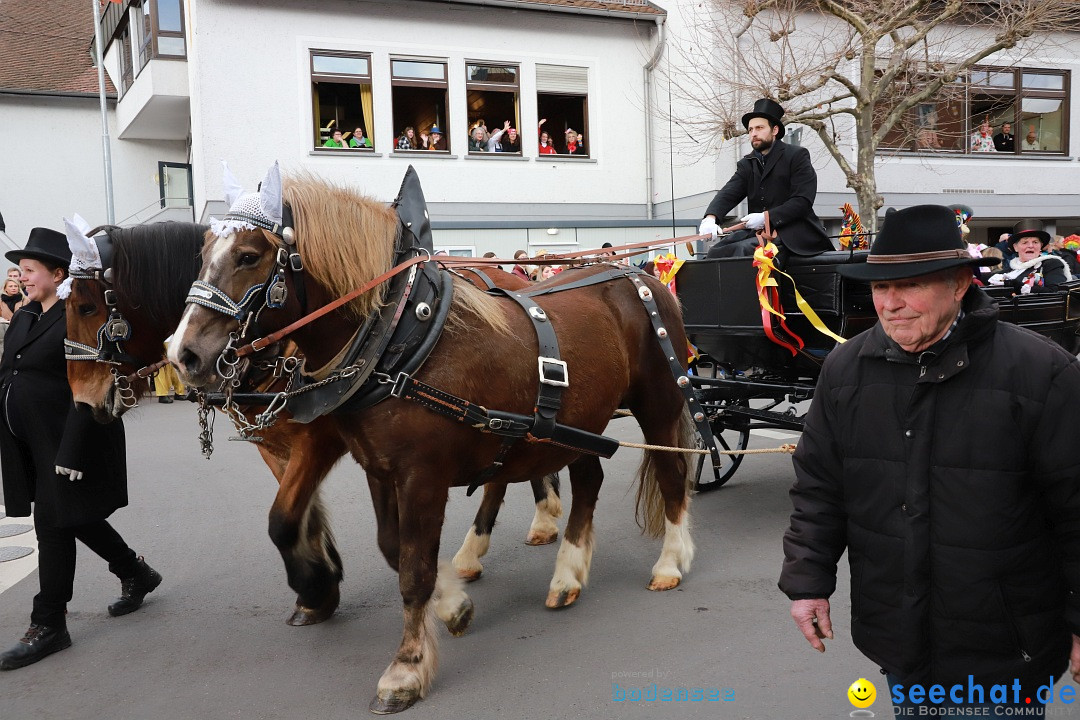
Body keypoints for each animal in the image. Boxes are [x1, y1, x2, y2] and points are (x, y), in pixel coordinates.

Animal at [65, 221, 565, 630]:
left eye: (87, 307)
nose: (83, 401)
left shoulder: (318, 441)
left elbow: (283, 519)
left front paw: (314, 586)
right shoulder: (272, 444)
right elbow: (300, 512)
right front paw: (321, 579)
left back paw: (522, 527)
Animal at [165, 171, 695, 712]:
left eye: (249, 255)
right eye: (203, 250)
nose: (183, 354)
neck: (399, 340)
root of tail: (642, 278)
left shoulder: (422, 475)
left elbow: (414, 569)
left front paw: (406, 668)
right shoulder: (378, 469)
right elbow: (391, 548)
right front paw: (453, 606)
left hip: (659, 405)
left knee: (672, 475)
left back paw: (670, 561)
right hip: (575, 425)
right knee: (589, 477)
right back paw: (567, 574)